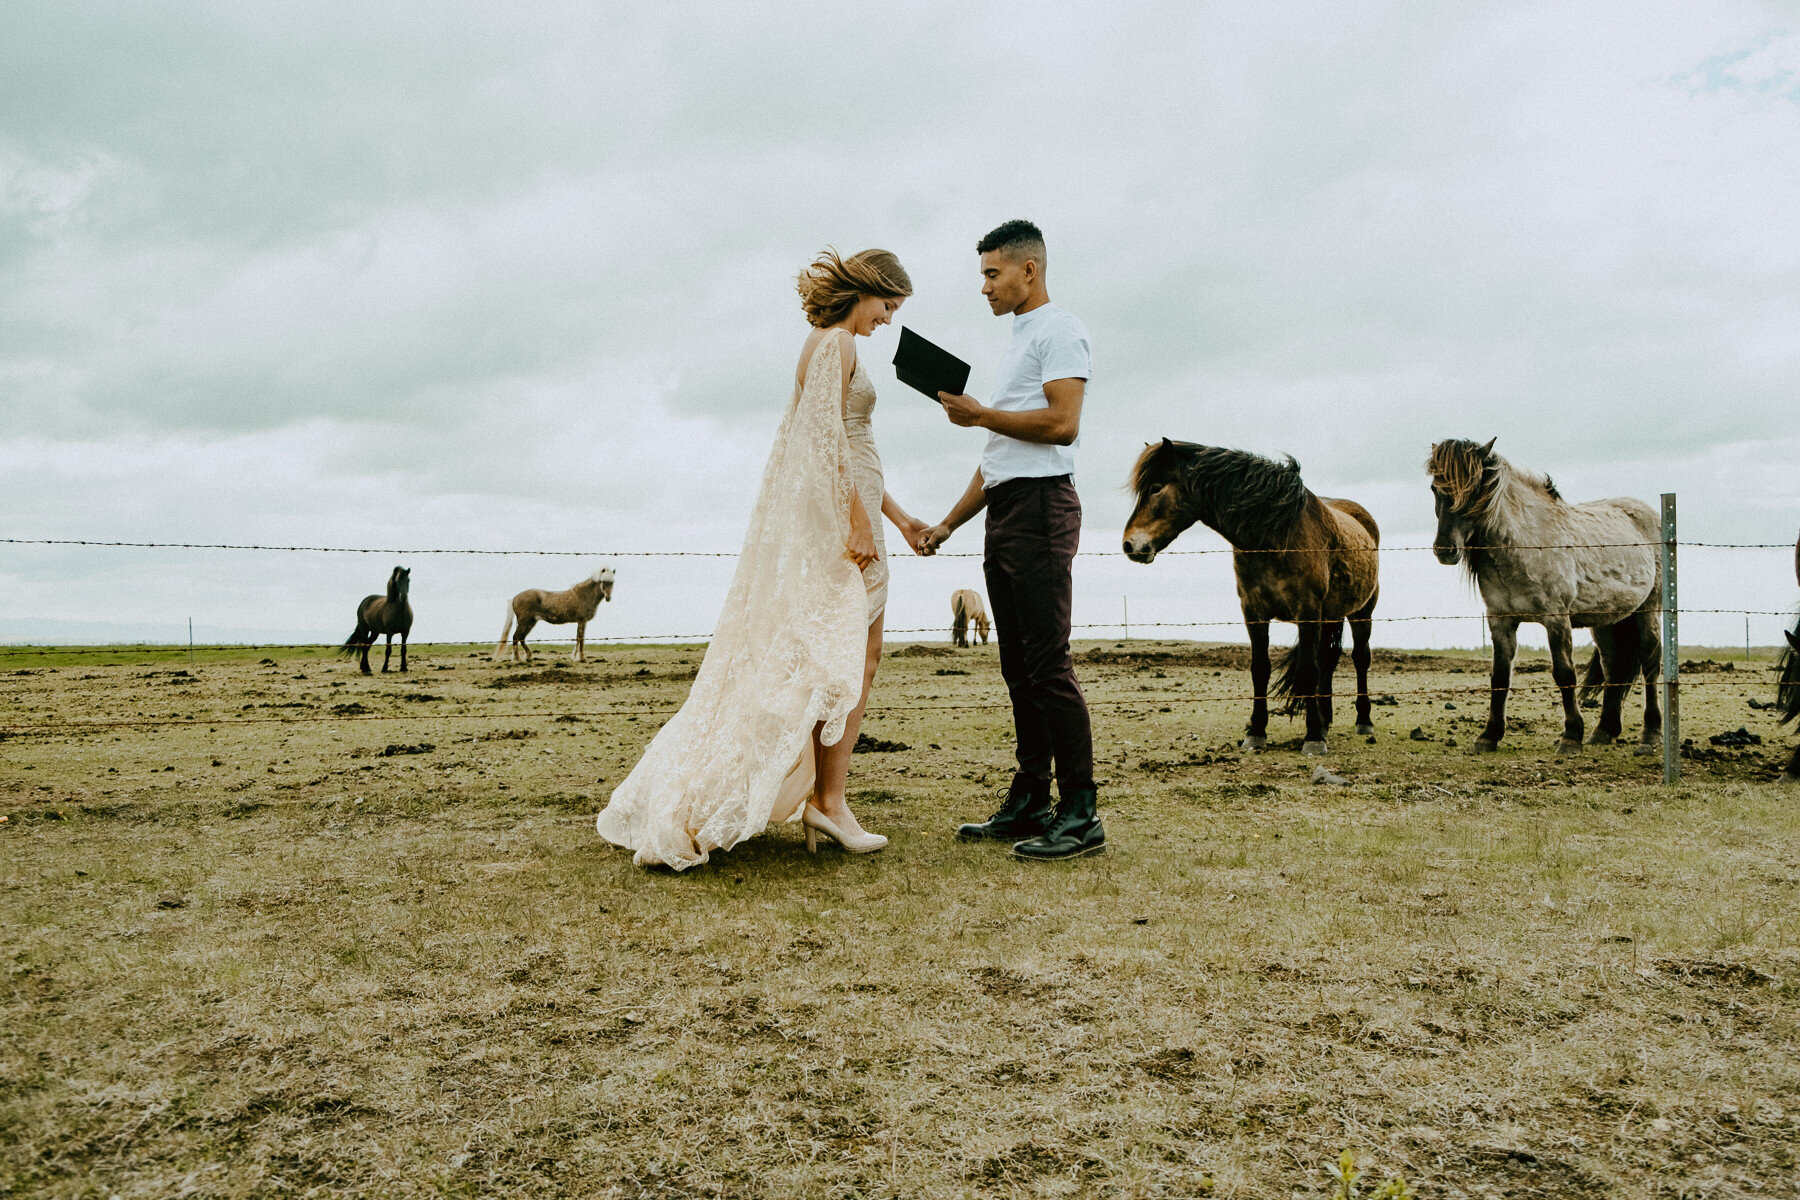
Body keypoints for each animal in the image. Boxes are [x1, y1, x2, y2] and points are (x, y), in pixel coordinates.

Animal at [1123, 440, 1375, 759]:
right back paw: (1326, 719)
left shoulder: (1307, 612)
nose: (1130, 544)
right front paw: (1256, 732)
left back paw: (1363, 721)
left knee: (1360, 659)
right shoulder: (1254, 612)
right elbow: (1260, 670)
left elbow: (1307, 669)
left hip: (1362, 612)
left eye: (1156, 487)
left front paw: (1313, 737)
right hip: (1330, 615)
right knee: (1327, 662)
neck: (1277, 536)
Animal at [1425, 437, 1663, 755]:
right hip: (1606, 621)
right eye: (1435, 488)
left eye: (1475, 489)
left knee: (1650, 663)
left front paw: (1571, 736)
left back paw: (1650, 734)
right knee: (1613, 667)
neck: (1526, 543)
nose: (1445, 550)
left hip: (1649, 609)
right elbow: (1500, 677)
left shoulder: (1556, 620)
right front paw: (1489, 735)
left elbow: (1564, 675)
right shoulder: (1501, 621)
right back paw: (1603, 731)